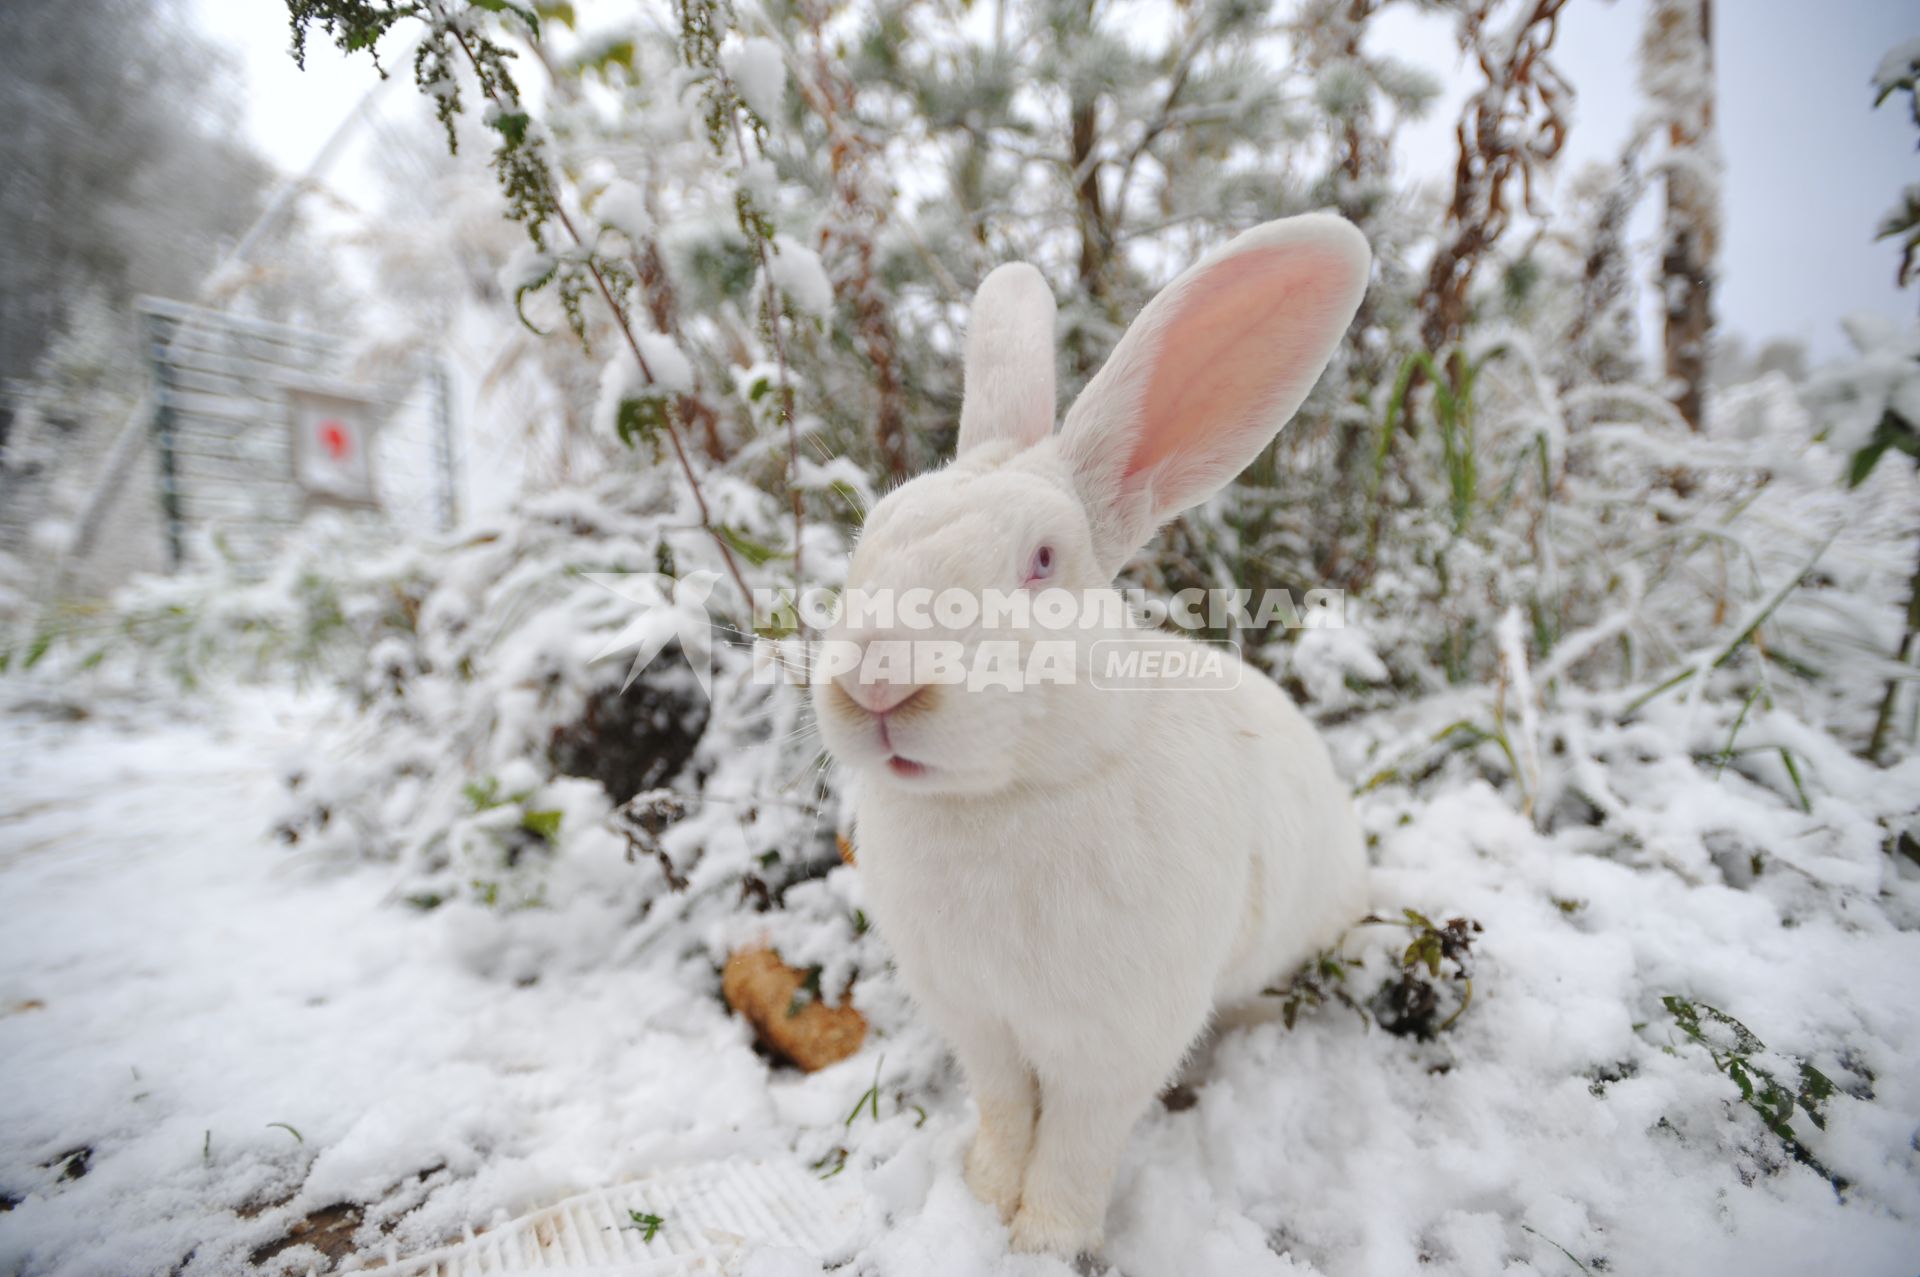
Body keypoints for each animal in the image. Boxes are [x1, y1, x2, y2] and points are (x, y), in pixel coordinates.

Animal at [817, 211, 1374, 1252]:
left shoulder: (1116, 1042)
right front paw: (985, 1197)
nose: (875, 682)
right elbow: (1006, 1111)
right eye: (871, 532)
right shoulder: (982, 1026)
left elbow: (1076, 1143)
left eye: (1043, 560)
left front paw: (1045, 1240)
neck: (1008, 798)